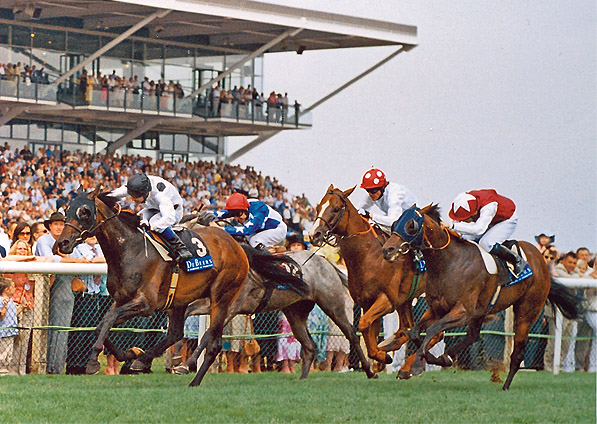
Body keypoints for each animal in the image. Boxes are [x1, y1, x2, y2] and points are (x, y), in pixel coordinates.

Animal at [55, 187, 304, 386]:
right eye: (67, 209)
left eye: (84, 211)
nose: (62, 243)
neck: (130, 250)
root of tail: (238, 247)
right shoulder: (121, 299)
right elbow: (101, 325)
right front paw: (129, 354)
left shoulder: (145, 304)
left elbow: (107, 321)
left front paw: (93, 361)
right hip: (180, 300)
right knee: (176, 333)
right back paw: (143, 361)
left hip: (222, 298)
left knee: (212, 342)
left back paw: (193, 380)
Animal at [177, 248, 374, 378]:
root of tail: (327, 263)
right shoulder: (211, 304)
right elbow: (189, 313)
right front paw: (181, 360)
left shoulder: (231, 308)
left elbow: (207, 335)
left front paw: (185, 365)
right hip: (295, 313)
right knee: (310, 345)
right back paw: (303, 379)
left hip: (332, 304)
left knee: (351, 334)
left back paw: (370, 371)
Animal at [308, 186, 428, 368]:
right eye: (318, 207)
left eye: (335, 209)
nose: (314, 234)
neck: (369, 255)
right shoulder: (367, 302)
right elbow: (367, 331)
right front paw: (380, 357)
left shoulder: (386, 300)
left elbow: (364, 324)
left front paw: (381, 356)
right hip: (406, 302)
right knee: (407, 328)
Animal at [380, 204, 580, 390]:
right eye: (394, 223)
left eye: (411, 225)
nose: (387, 250)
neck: (449, 262)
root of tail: (541, 262)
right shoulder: (437, 309)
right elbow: (414, 332)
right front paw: (427, 358)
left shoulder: (463, 312)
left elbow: (431, 330)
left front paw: (415, 366)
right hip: (482, 310)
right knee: (473, 336)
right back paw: (446, 357)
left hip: (526, 311)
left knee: (517, 352)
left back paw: (505, 386)